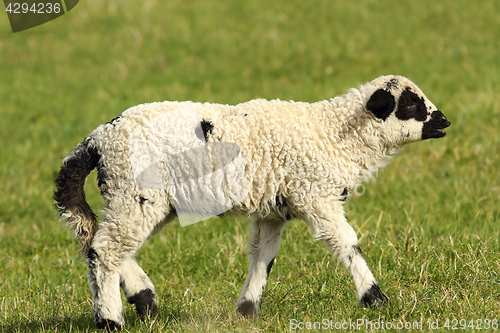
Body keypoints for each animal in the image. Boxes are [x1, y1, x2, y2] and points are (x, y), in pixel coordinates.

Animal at [53, 76, 450, 330]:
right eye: (411, 104)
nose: (444, 121)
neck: (334, 135)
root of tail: (98, 139)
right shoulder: (316, 196)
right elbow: (347, 244)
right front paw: (375, 298)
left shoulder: (274, 209)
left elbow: (263, 255)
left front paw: (246, 310)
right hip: (134, 192)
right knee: (104, 250)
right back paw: (110, 319)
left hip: (143, 200)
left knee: (98, 243)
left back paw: (144, 299)